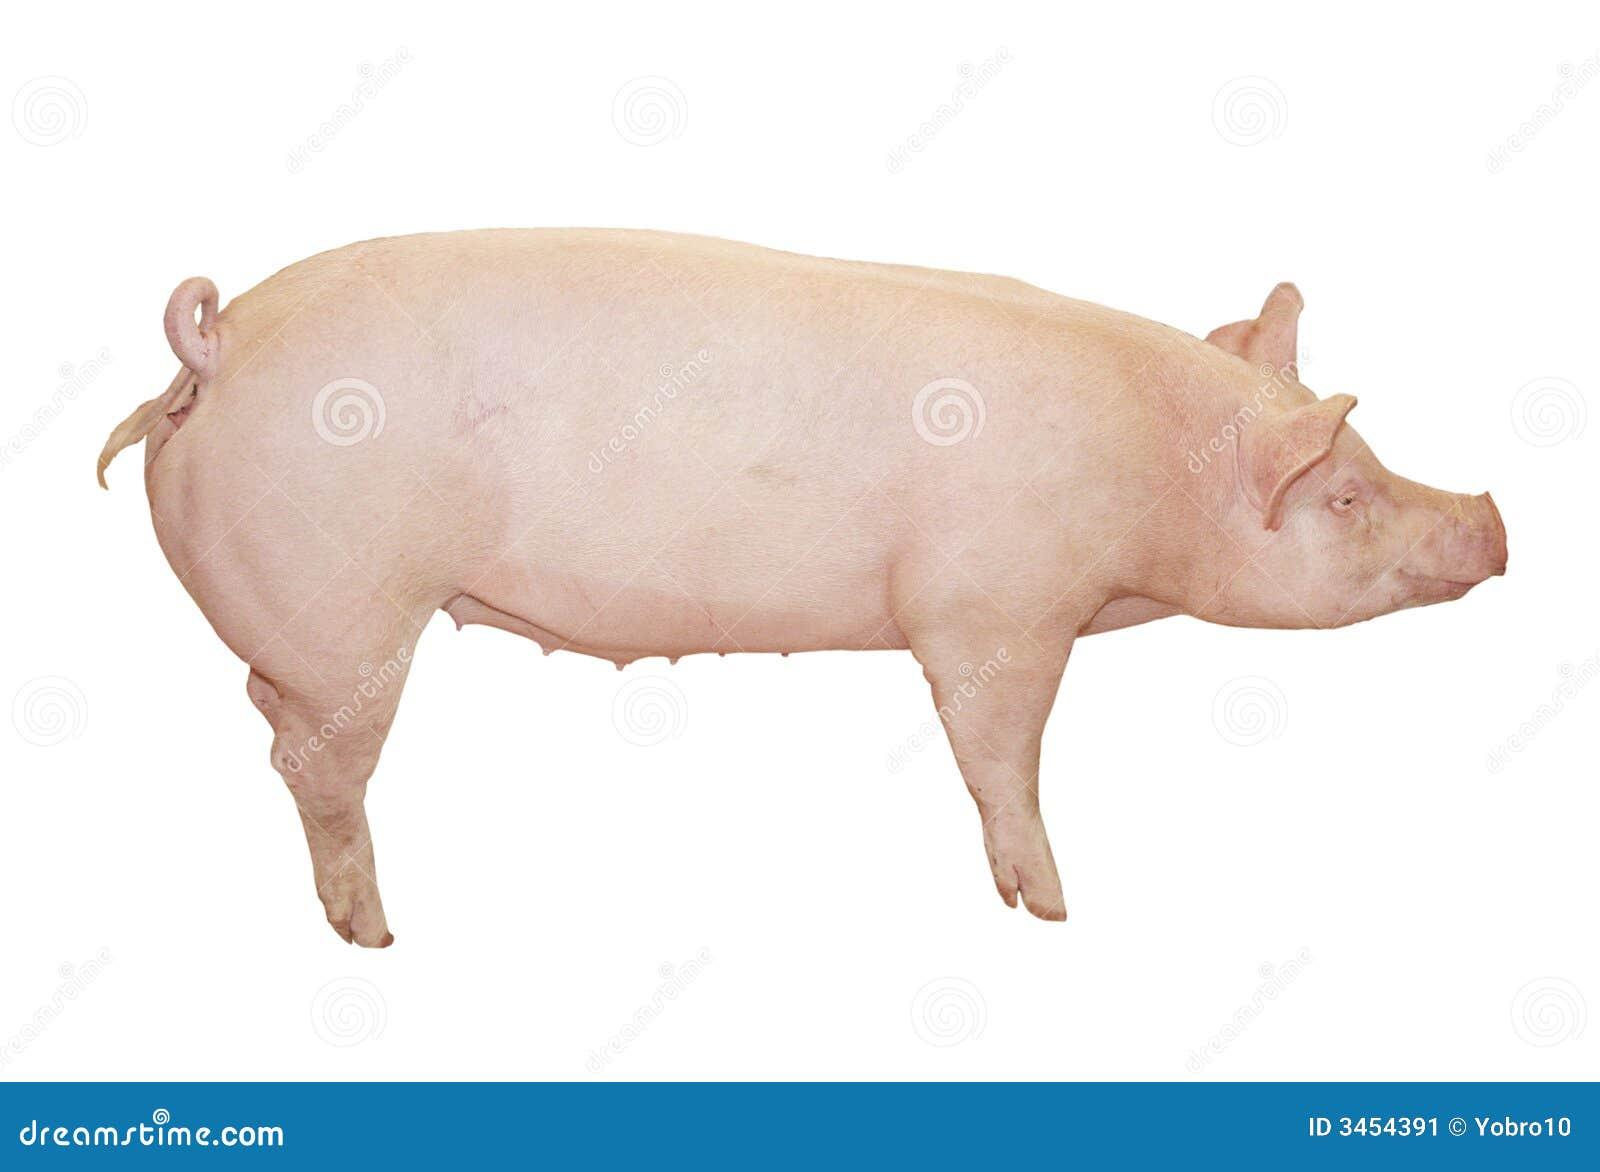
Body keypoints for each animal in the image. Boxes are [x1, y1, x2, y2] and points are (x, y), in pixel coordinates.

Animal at [98, 230, 1507, 946]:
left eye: (1369, 466)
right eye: (1342, 496)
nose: (1494, 518)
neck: (1141, 504)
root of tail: (214, 349)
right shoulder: (990, 608)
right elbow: (996, 749)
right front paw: (1053, 909)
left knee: (264, 718)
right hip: (348, 615)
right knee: (312, 766)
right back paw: (377, 932)